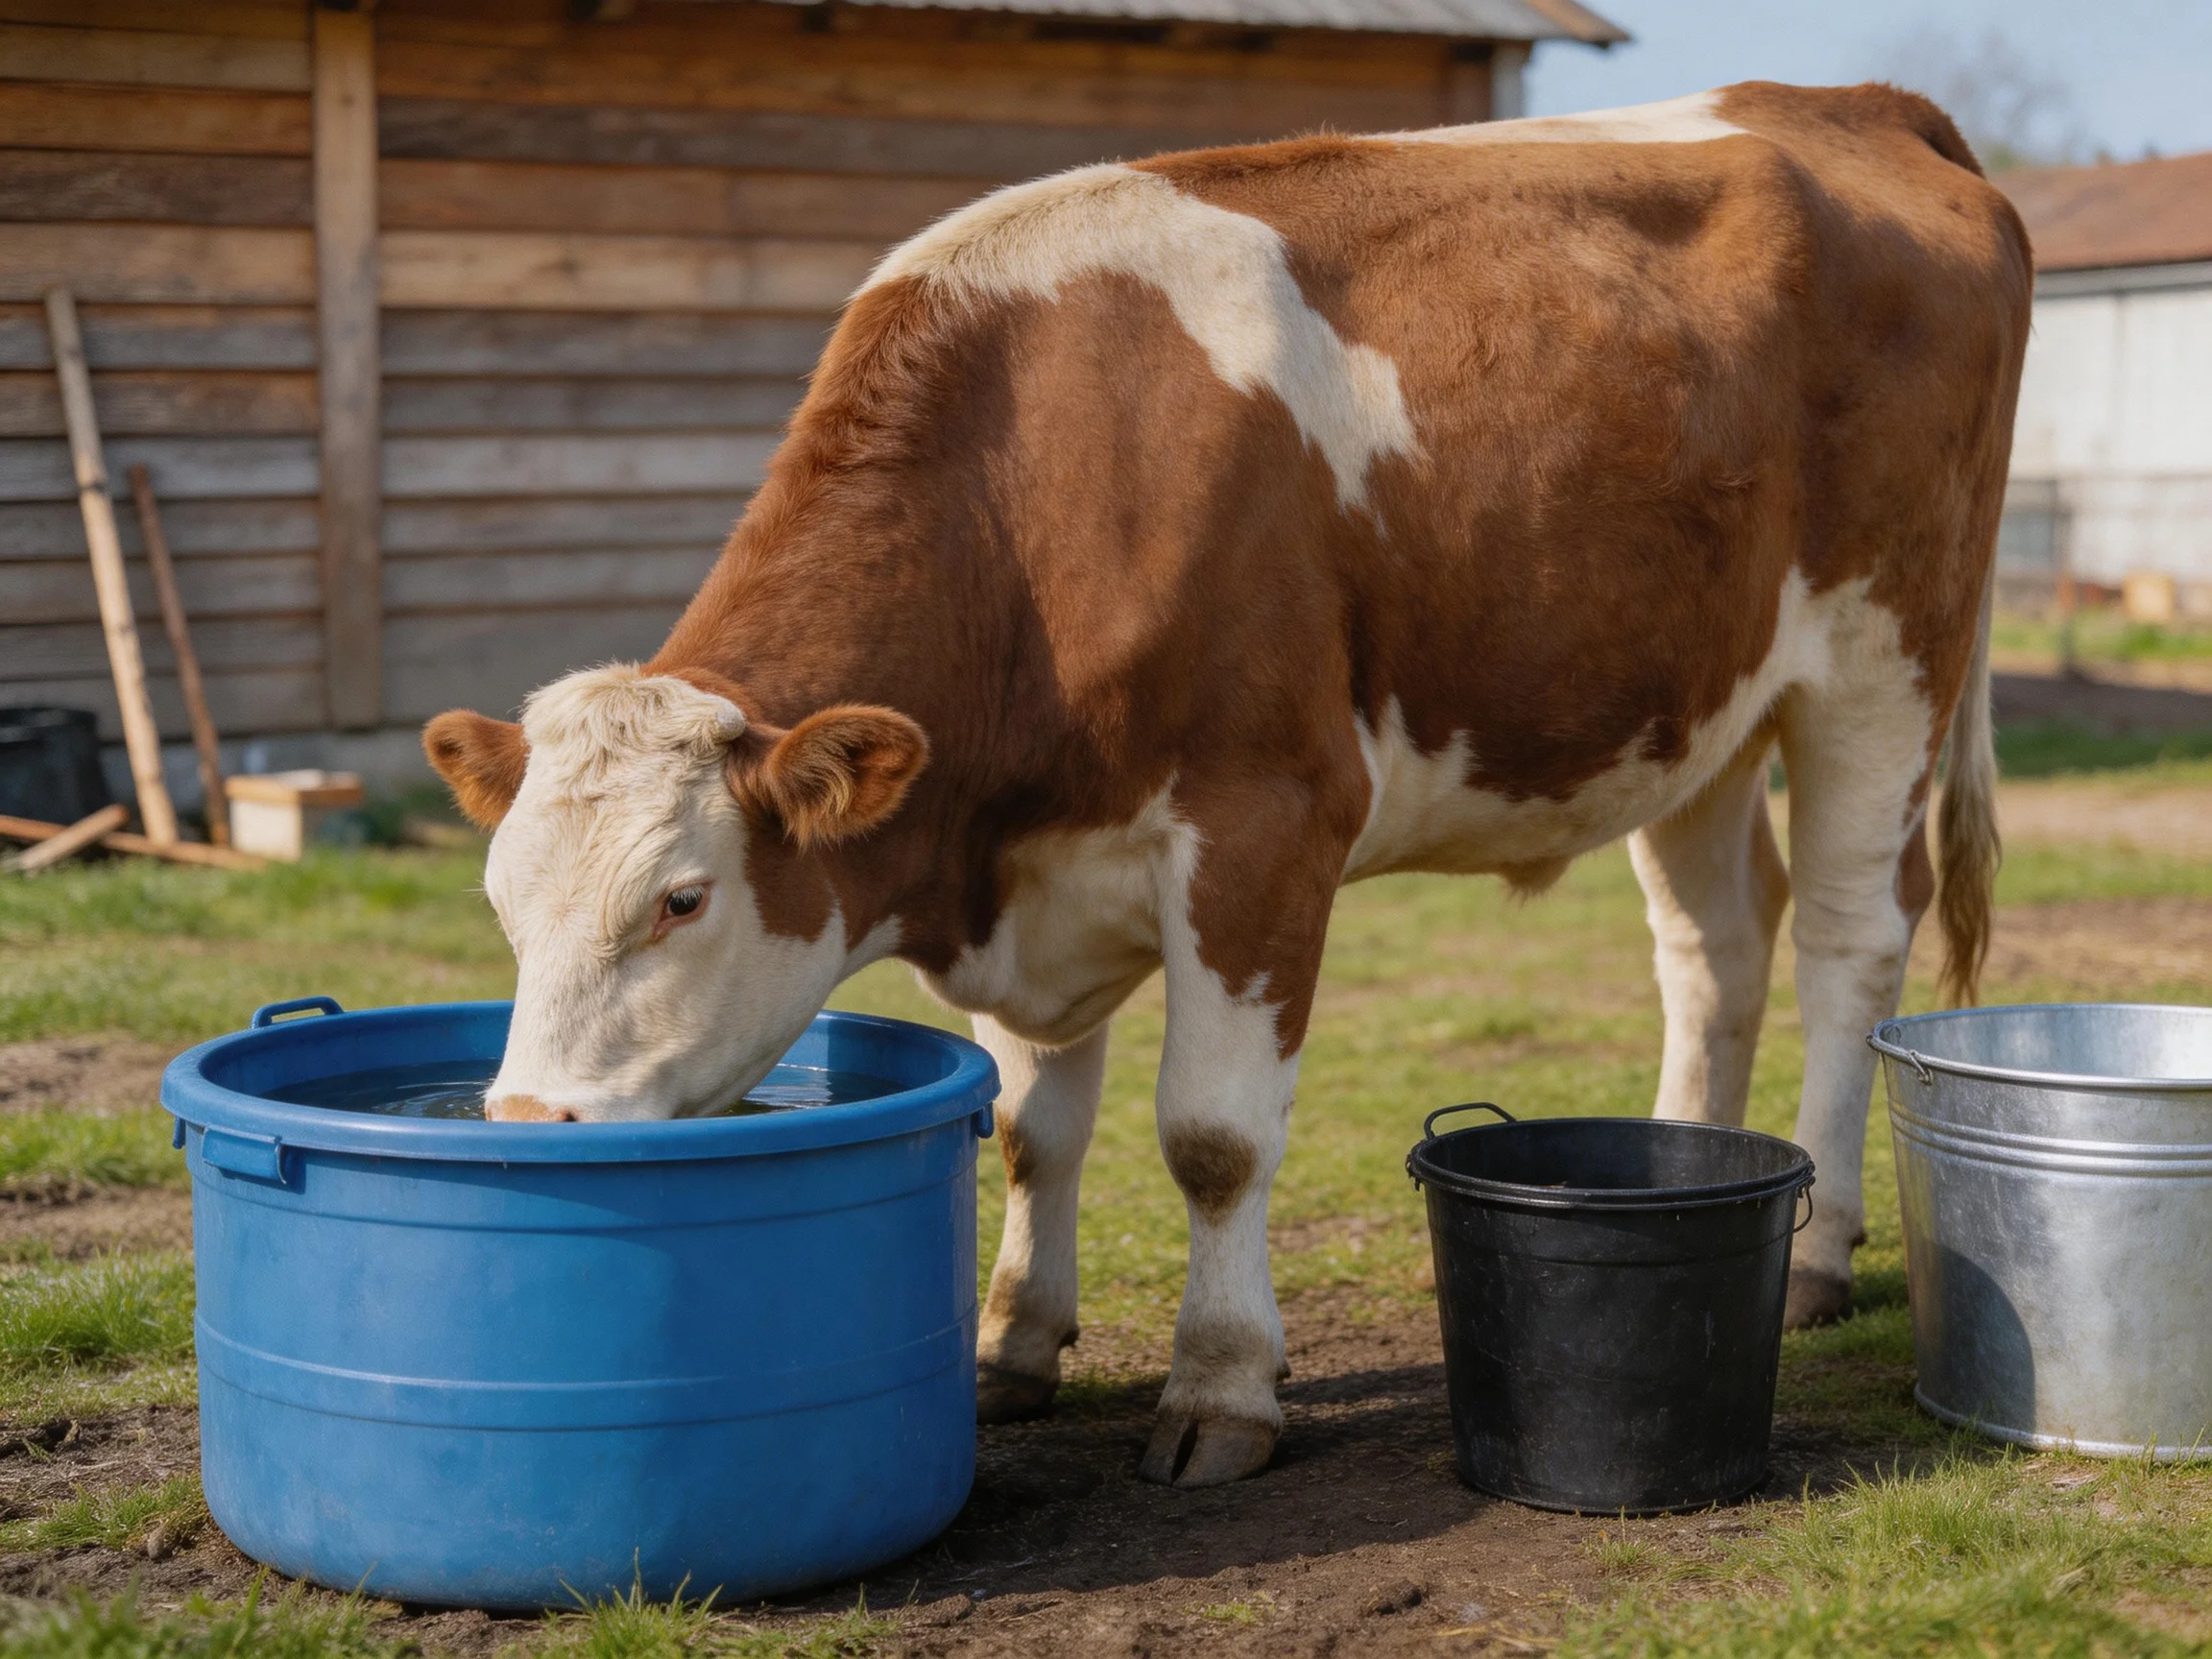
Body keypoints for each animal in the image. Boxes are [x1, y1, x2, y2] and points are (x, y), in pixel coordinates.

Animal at [425, 81, 2029, 1489]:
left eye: (681, 900)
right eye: (500, 905)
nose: (523, 1125)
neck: (1033, 504)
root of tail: (1850, 104)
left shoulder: (1264, 822)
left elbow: (1211, 1139)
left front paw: (1220, 1389)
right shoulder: (1030, 874)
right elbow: (1034, 1128)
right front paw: (1014, 1345)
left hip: (1887, 658)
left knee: (1848, 938)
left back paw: (1815, 1251)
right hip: (1690, 704)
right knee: (1717, 946)